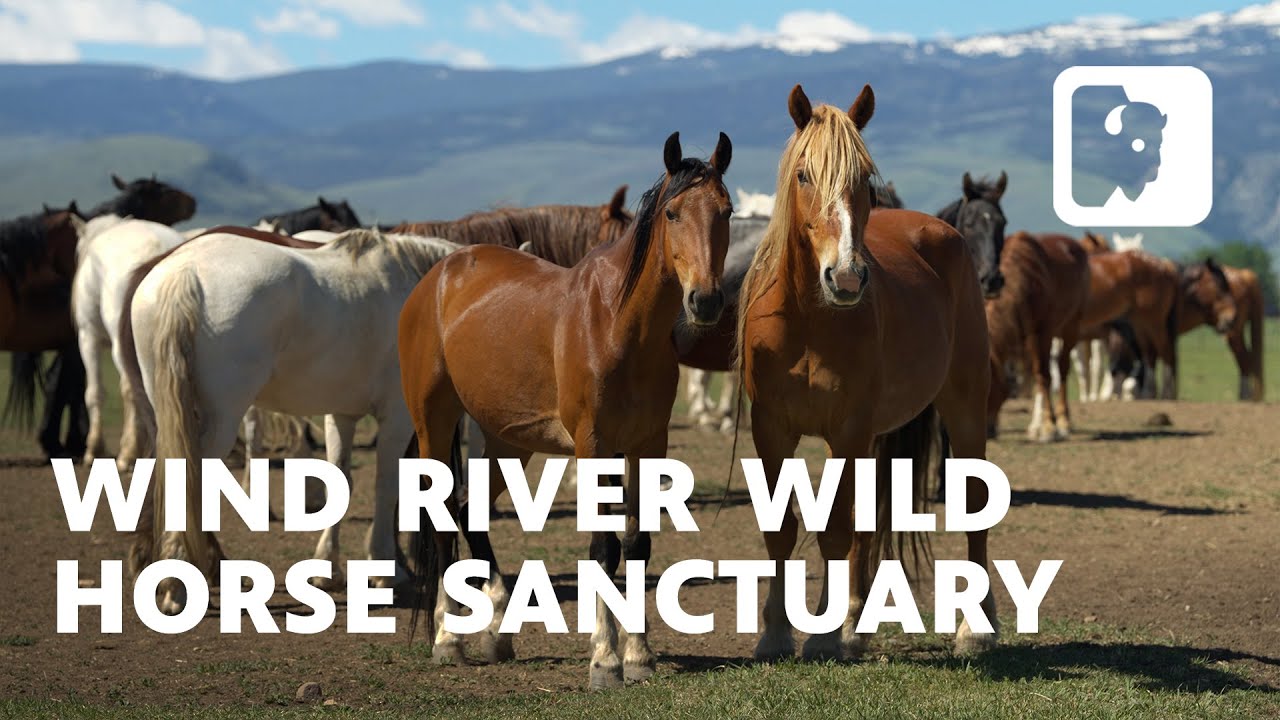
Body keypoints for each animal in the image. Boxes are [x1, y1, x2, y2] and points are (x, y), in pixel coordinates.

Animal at [119, 229, 457, 613]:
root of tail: (184, 272)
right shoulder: (397, 417)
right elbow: (386, 487)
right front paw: (386, 571)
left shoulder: (342, 414)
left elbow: (342, 480)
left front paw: (328, 568)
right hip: (218, 422)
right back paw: (179, 584)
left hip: (167, 413)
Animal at [734, 83, 996, 662]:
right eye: (804, 175)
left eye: (865, 181)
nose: (848, 278)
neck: (807, 320)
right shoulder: (772, 428)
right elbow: (783, 528)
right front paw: (776, 634)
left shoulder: (847, 429)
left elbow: (833, 529)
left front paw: (822, 636)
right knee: (868, 524)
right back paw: (857, 623)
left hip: (964, 405)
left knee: (974, 504)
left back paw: (976, 628)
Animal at [984, 232, 1091, 440]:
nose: (988, 432)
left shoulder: (1041, 334)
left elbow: (1043, 375)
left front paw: (1049, 426)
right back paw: (1035, 425)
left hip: (1071, 326)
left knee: (1061, 369)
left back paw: (1063, 421)